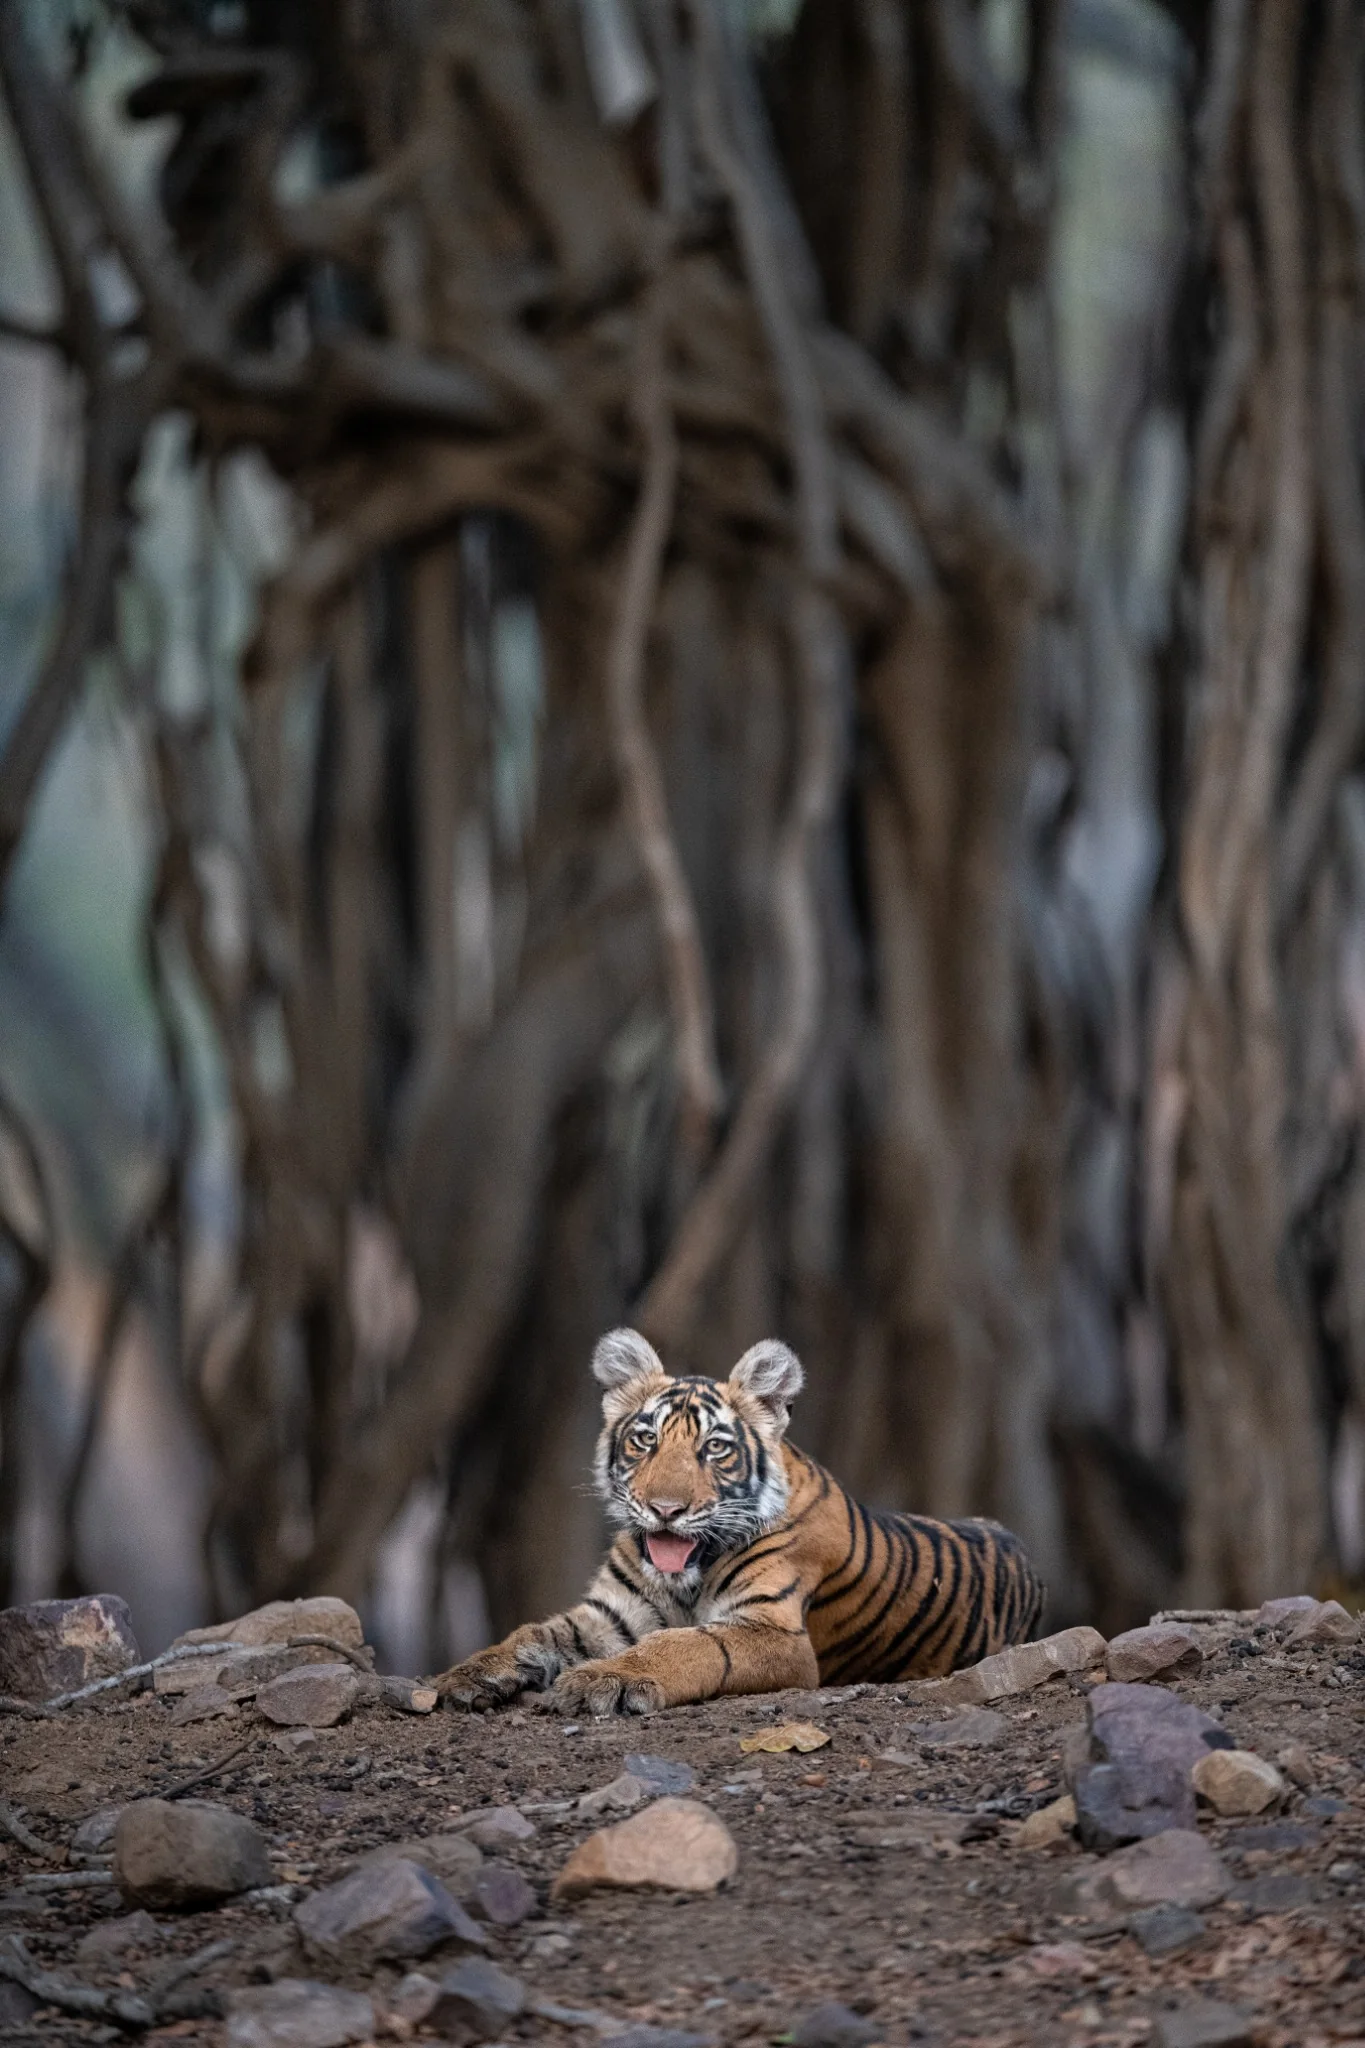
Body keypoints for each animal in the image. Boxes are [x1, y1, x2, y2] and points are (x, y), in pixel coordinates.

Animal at [434, 1328, 1045, 1717]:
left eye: (715, 1448)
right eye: (646, 1439)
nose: (666, 1509)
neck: (686, 1579)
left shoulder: (774, 1632)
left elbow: (686, 1645)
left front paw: (602, 1681)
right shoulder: (610, 1614)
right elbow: (533, 1632)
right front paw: (466, 1675)